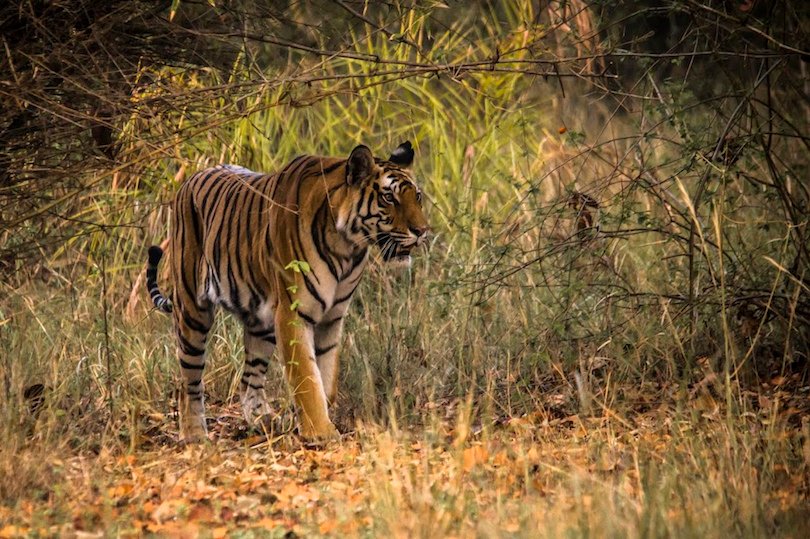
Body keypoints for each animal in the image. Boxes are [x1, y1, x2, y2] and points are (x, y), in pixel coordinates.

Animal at [146, 141, 430, 446]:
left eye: (418, 197)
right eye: (389, 198)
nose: (422, 231)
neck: (348, 248)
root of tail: (190, 179)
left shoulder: (332, 318)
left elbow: (325, 375)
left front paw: (313, 420)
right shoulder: (293, 313)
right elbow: (307, 376)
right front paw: (320, 431)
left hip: (260, 321)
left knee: (249, 379)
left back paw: (264, 421)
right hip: (192, 311)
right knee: (188, 381)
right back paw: (195, 435)